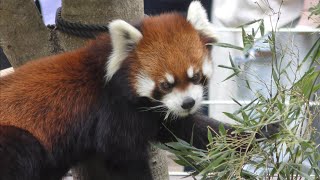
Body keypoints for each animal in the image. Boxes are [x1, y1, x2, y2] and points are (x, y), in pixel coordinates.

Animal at [0, 1, 276, 180]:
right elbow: (121, 155)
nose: (188, 103)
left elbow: (196, 129)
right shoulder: (114, 112)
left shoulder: (157, 113)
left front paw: (264, 131)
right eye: (165, 84)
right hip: (15, 138)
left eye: (195, 76)